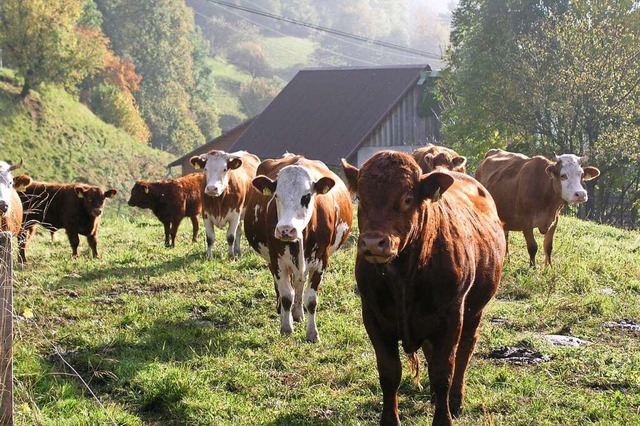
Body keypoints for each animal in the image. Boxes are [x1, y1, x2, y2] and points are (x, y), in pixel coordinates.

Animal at [246, 155, 356, 344]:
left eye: (306, 197)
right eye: (276, 195)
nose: (285, 230)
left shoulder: (321, 260)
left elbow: (310, 300)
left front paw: (312, 333)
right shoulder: (277, 258)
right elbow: (286, 296)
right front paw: (286, 327)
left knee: (299, 283)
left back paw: (297, 313)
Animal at [342, 151, 508, 424]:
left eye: (407, 199)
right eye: (361, 199)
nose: (373, 243)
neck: (403, 278)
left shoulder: (451, 317)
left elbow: (443, 373)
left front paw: (444, 416)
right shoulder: (373, 317)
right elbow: (389, 373)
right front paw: (390, 419)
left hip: (474, 311)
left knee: (465, 351)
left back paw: (455, 399)